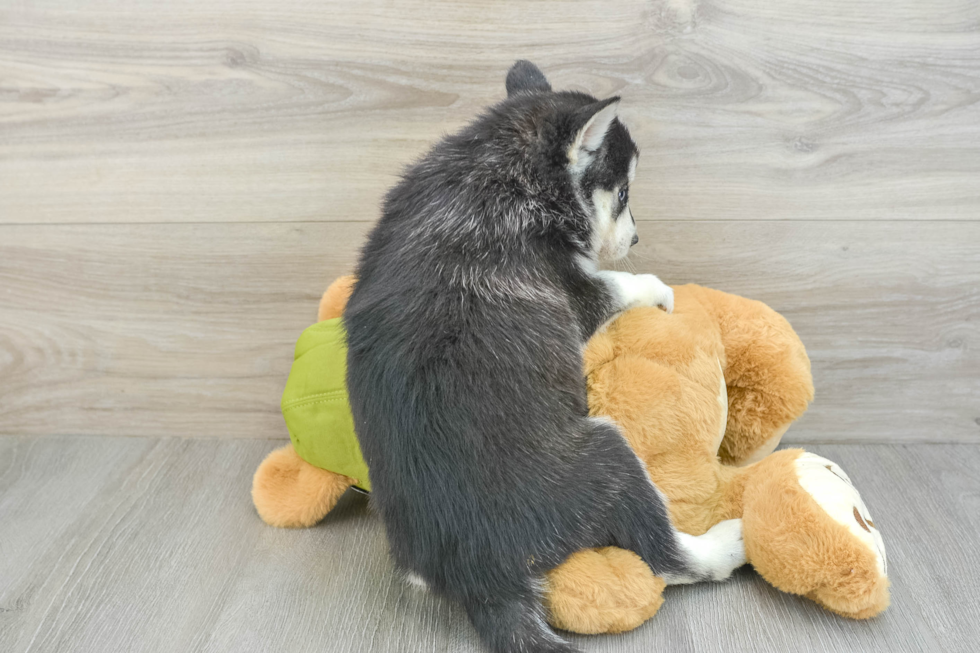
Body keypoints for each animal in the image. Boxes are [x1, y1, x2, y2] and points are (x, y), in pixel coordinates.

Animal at [344, 61, 744, 652]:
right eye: (623, 193)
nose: (638, 238)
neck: (492, 164)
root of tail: (485, 582)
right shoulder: (578, 295)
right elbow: (619, 284)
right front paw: (657, 288)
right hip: (611, 456)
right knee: (669, 559)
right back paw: (726, 544)